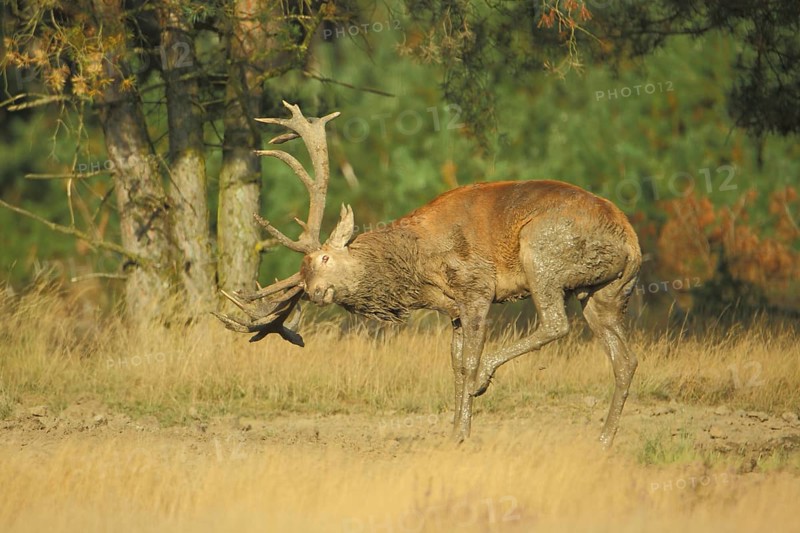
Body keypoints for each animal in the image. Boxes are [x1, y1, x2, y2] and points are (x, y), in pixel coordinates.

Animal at [215, 102, 642, 448]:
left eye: (323, 258)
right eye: (301, 282)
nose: (317, 293)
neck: (419, 268)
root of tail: (631, 240)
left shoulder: (476, 287)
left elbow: (469, 361)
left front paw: (465, 425)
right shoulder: (452, 308)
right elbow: (453, 364)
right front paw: (454, 429)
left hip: (543, 252)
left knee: (556, 323)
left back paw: (490, 380)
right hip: (606, 290)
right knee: (625, 360)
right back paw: (603, 439)